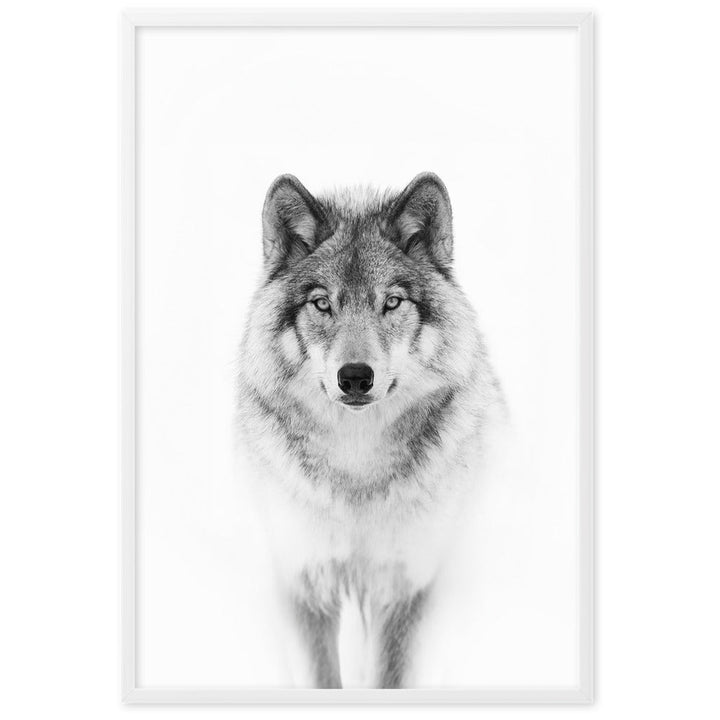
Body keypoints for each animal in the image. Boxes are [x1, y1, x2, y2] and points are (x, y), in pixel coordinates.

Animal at [235, 172, 506, 688]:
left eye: (392, 302)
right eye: (322, 304)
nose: (356, 377)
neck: (356, 467)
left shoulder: (405, 587)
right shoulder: (306, 583)